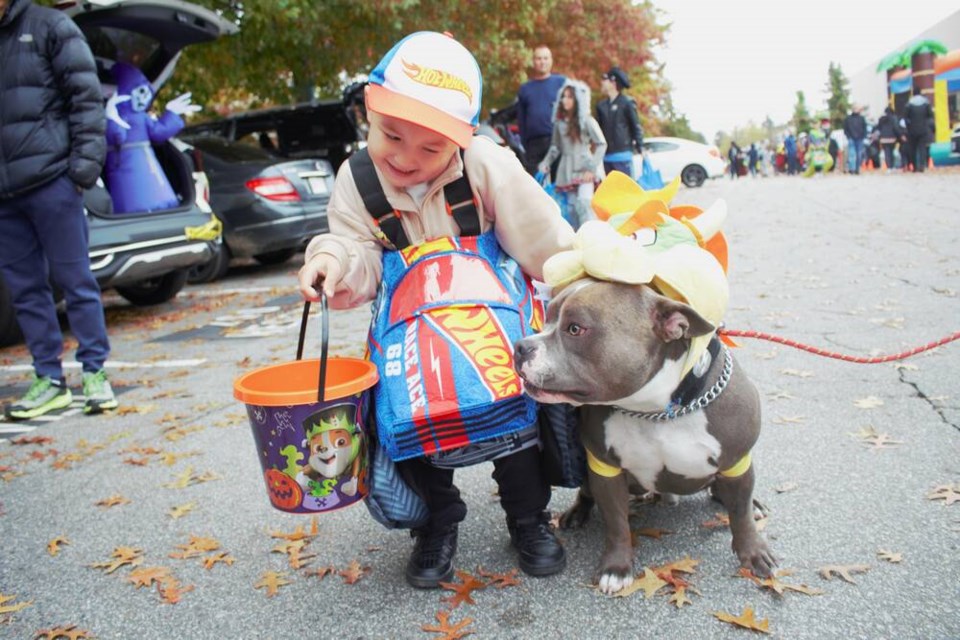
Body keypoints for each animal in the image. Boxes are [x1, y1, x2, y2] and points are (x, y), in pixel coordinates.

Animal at [512, 280, 776, 596]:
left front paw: (753, 552)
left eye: (575, 329)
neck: (655, 410)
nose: (520, 346)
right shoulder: (605, 470)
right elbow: (617, 524)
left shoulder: (737, 460)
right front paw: (616, 568)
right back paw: (577, 513)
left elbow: (741, 516)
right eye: (547, 318)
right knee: (586, 493)